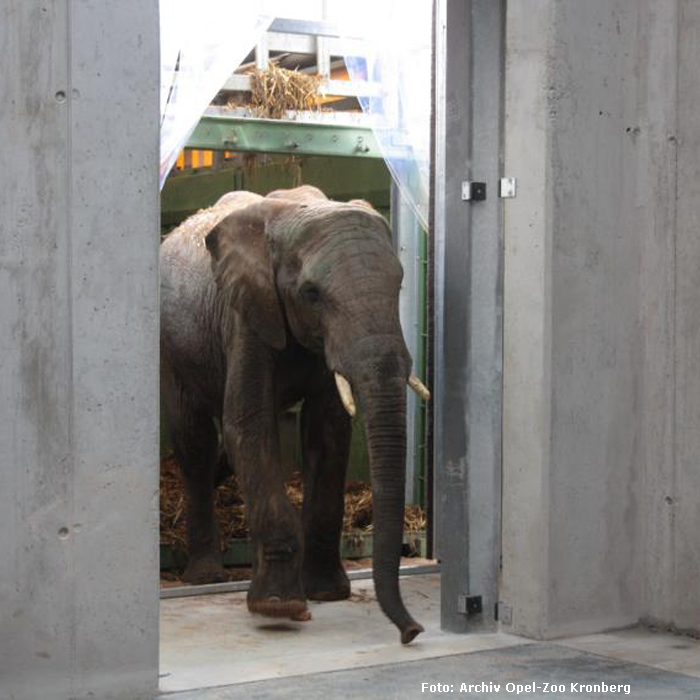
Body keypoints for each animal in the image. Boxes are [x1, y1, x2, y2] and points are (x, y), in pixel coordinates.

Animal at [161, 186, 430, 644]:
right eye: (312, 294)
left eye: (399, 284)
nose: (412, 631)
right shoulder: (246, 313)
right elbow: (248, 424)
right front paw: (279, 607)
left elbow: (329, 431)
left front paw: (327, 593)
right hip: (172, 342)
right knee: (194, 440)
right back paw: (206, 577)